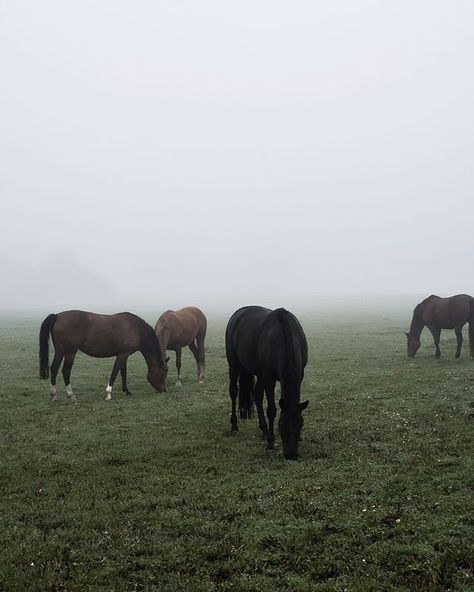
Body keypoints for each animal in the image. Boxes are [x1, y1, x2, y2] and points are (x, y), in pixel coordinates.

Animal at [39, 310, 168, 402]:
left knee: (54, 369)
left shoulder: (124, 355)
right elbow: (115, 372)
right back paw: (71, 395)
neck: (136, 329)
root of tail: (57, 316)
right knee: (65, 371)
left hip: (60, 352)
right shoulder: (122, 355)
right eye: (163, 373)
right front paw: (109, 394)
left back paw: (54, 395)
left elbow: (123, 373)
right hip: (70, 352)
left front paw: (126, 391)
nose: (163, 390)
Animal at [225, 306, 308, 462]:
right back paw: (234, 426)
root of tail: (237, 314)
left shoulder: (300, 375)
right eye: (282, 425)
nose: (291, 455)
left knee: (257, 395)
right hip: (234, 364)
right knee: (233, 392)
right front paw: (270, 443)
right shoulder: (269, 378)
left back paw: (263, 429)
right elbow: (272, 410)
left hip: (259, 374)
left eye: (301, 424)